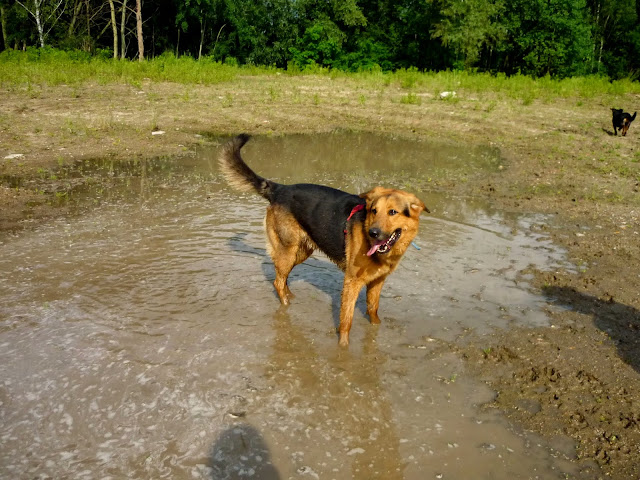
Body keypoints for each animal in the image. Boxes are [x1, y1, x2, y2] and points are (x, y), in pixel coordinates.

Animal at [219, 134, 428, 346]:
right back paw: (286, 307)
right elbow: (346, 321)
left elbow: (373, 312)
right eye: (373, 211)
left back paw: (290, 296)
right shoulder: (351, 282)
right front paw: (342, 348)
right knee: (277, 282)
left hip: (301, 252)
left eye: (392, 212)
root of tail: (279, 189)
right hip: (289, 250)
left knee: (282, 279)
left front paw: (376, 332)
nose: (373, 233)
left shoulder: (377, 282)